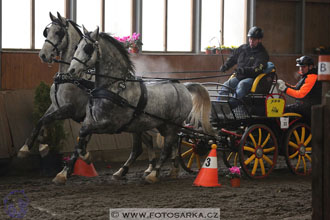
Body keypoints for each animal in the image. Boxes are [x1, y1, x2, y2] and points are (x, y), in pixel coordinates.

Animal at [53, 26, 214, 184]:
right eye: (76, 46)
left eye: (87, 48)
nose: (71, 70)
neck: (113, 87)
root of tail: (183, 87)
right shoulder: (89, 121)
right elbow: (80, 140)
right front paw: (63, 173)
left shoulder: (109, 125)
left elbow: (83, 135)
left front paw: (86, 157)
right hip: (163, 125)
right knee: (171, 143)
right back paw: (169, 171)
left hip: (171, 124)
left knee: (166, 148)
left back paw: (153, 174)